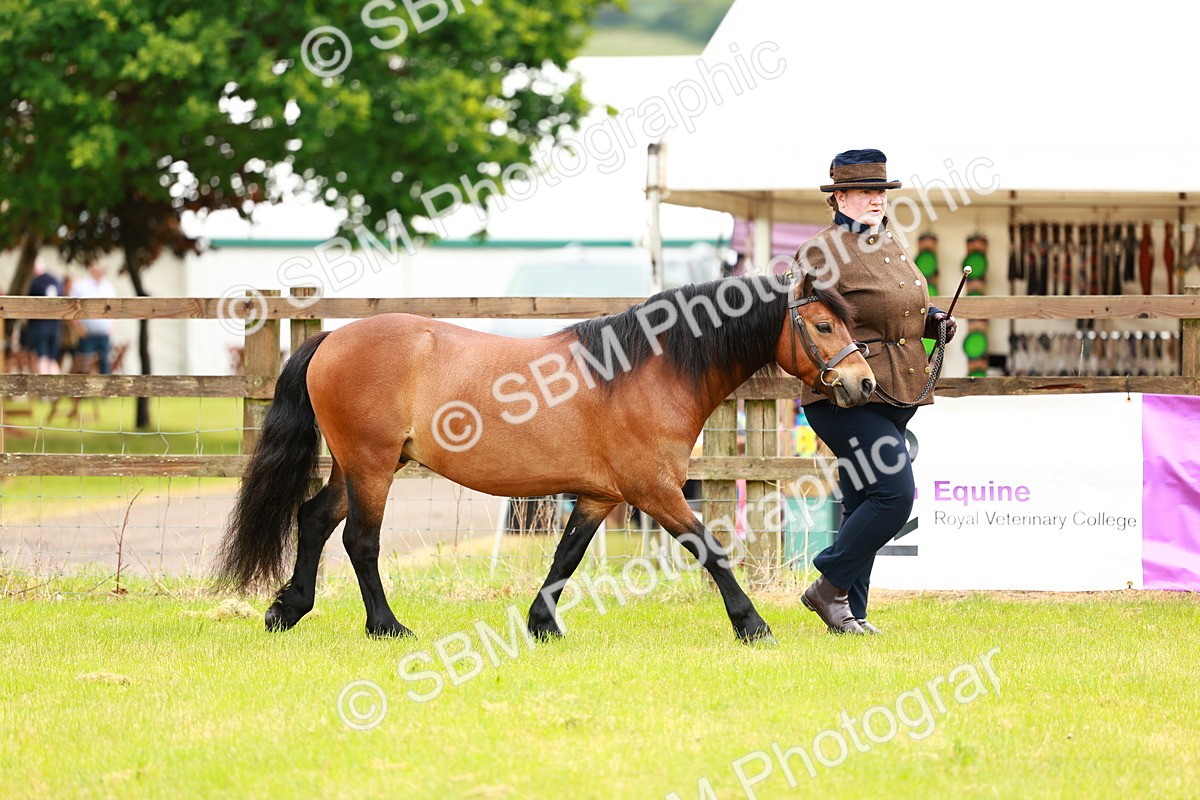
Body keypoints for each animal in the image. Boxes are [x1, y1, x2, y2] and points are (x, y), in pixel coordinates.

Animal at [216, 273, 876, 644]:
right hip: (371, 466)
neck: (645, 372)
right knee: (359, 540)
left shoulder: (600, 495)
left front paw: (541, 623)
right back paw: (386, 626)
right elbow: (710, 549)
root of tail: (332, 337)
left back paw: (288, 610)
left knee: (314, 520)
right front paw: (752, 625)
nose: (864, 384)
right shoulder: (655, 490)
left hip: (359, 465)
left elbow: (567, 556)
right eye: (822, 324)